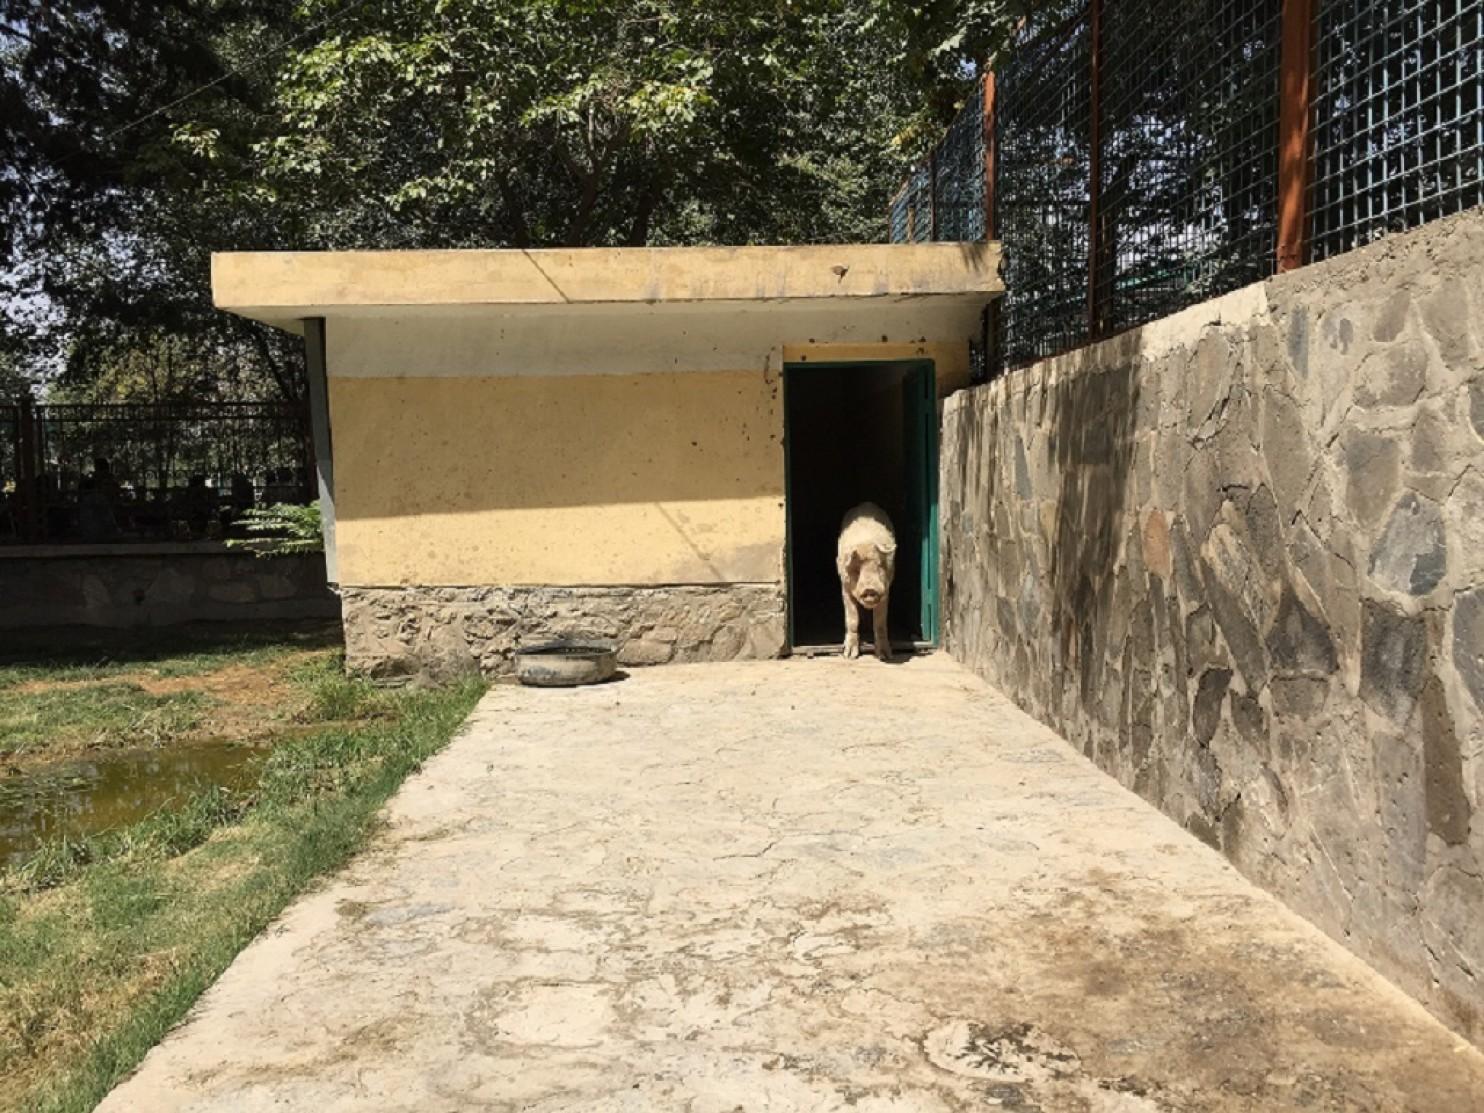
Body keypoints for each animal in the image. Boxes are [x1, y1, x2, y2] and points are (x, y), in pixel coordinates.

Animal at [836, 504, 890, 661]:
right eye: (856, 569)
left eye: (879, 565)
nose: (870, 589)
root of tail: (866, 503)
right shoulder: (845, 588)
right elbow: (852, 619)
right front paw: (849, 656)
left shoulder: (886, 589)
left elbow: (880, 621)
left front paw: (884, 657)